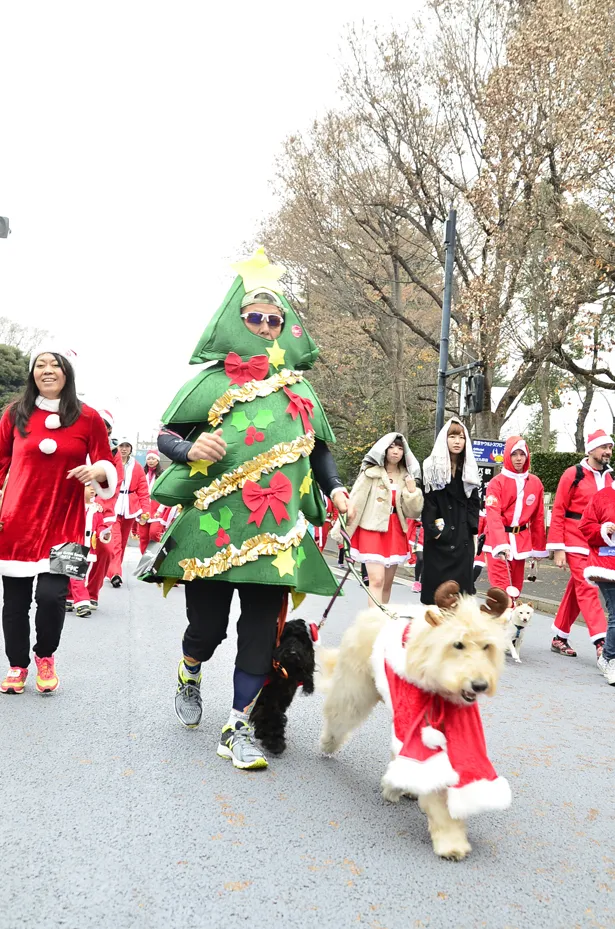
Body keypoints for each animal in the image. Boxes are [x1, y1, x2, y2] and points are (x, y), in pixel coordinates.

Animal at [250, 616, 316, 752]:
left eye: (302, 640)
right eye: (284, 637)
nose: (292, 653)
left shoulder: (282, 698)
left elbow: (274, 714)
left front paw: (269, 736)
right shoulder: (267, 696)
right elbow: (270, 714)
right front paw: (274, 741)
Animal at [320, 584, 512, 860]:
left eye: (487, 646)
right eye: (458, 644)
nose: (479, 685)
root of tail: (376, 611)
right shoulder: (420, 732)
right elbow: (436, 785)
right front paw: (451, 841)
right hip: (355, 688)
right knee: (340, 714)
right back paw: (329, 744)